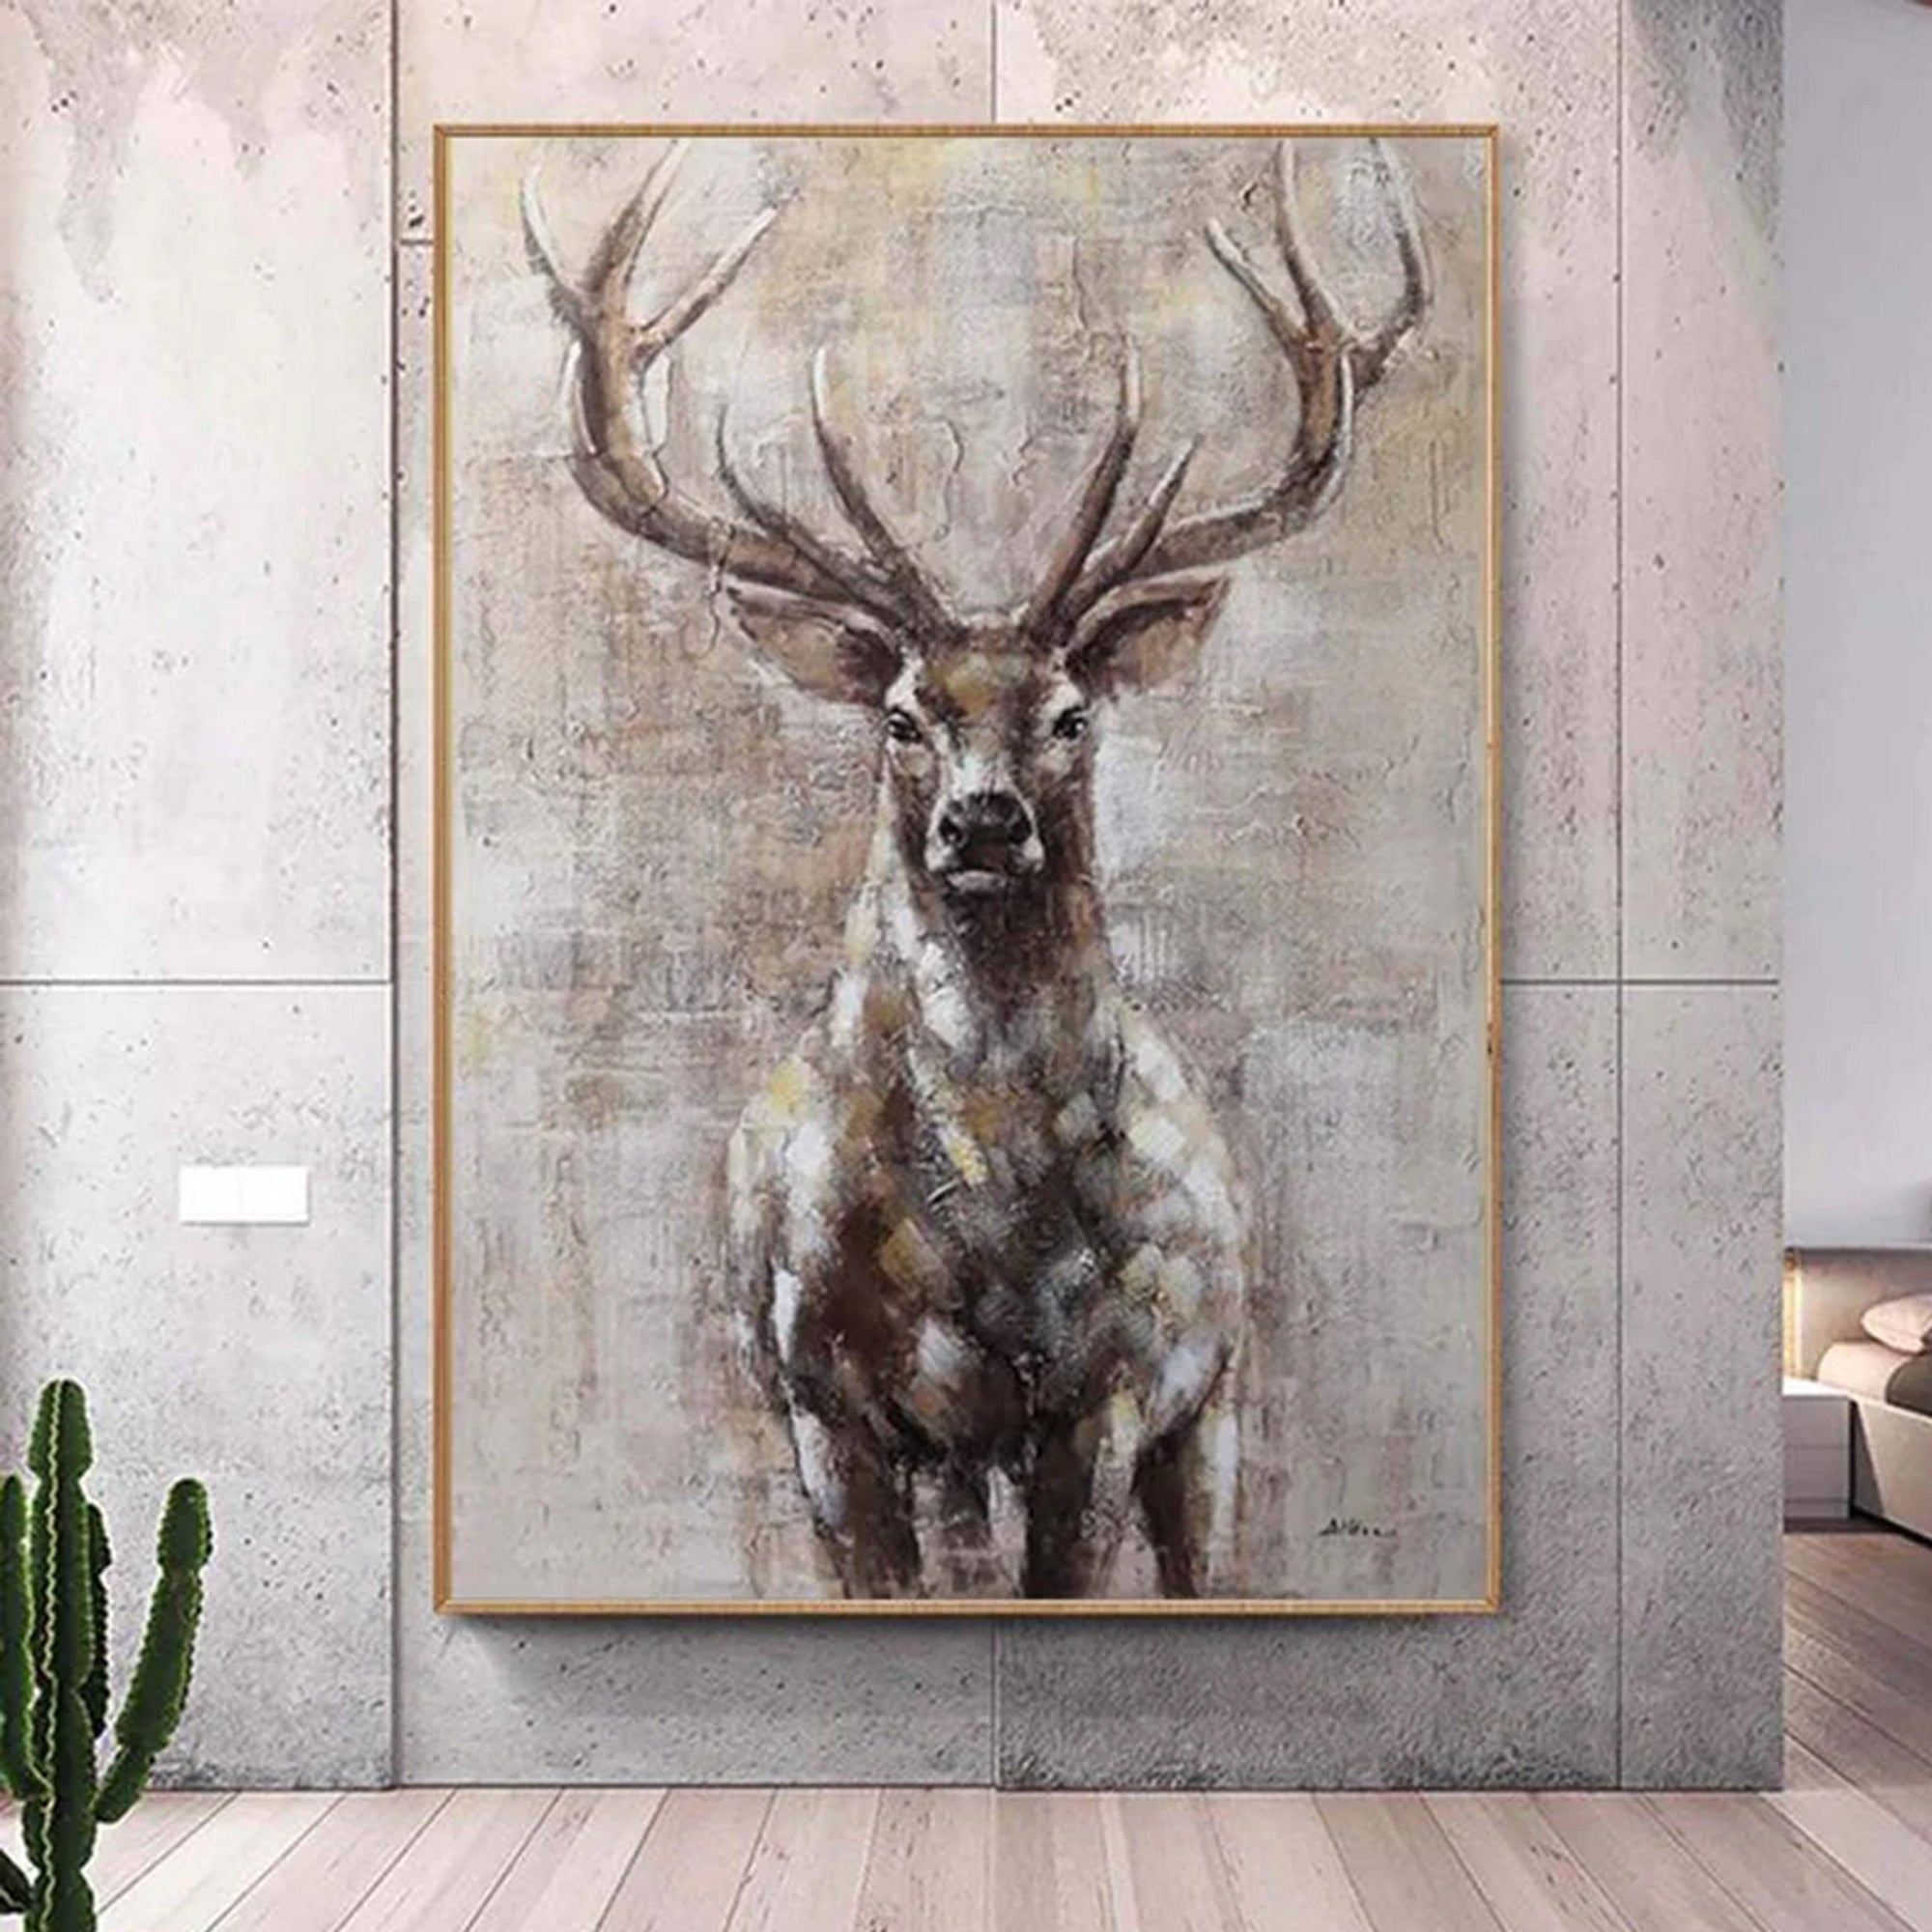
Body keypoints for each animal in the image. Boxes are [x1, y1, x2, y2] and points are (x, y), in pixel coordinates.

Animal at [522, 137, 1428, 1599]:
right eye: (900, 715)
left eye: (1071, 714)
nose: (986, 823)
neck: (977, 1226)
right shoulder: (819, 1400)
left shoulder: (1113, 1390)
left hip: (1220, 1388)